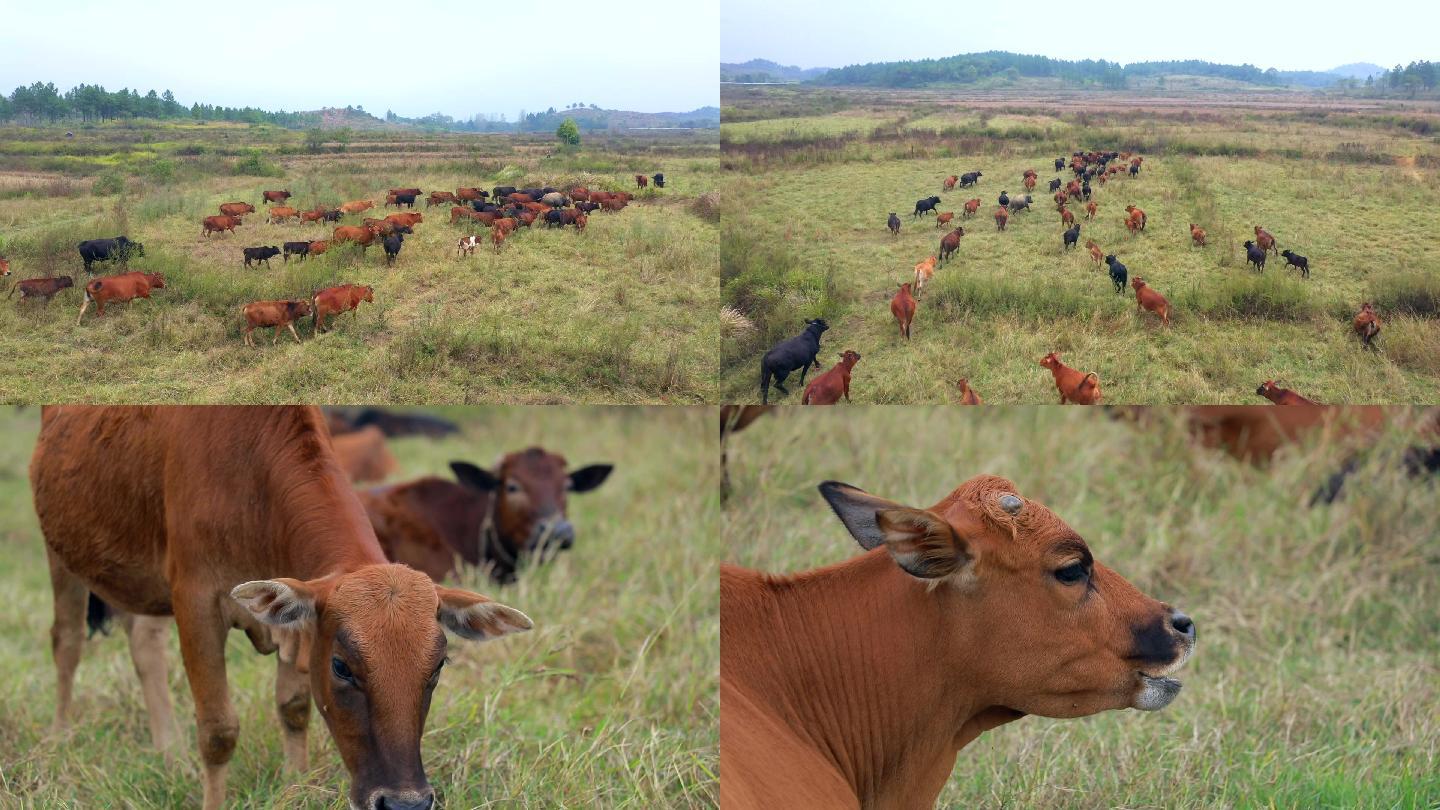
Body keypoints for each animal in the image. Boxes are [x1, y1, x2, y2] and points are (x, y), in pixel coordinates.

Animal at [35, 406, 535, 807]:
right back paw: (58, 739)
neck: (250, 480)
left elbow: (294, 709)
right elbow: (218, 732)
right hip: (62, 556)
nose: (404, 803)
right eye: (341, 666)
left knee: (144, 646)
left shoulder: (298, 620)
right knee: (67, 643)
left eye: (438, 666)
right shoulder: (196, 602)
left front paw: (295, 787)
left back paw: (168, 753)